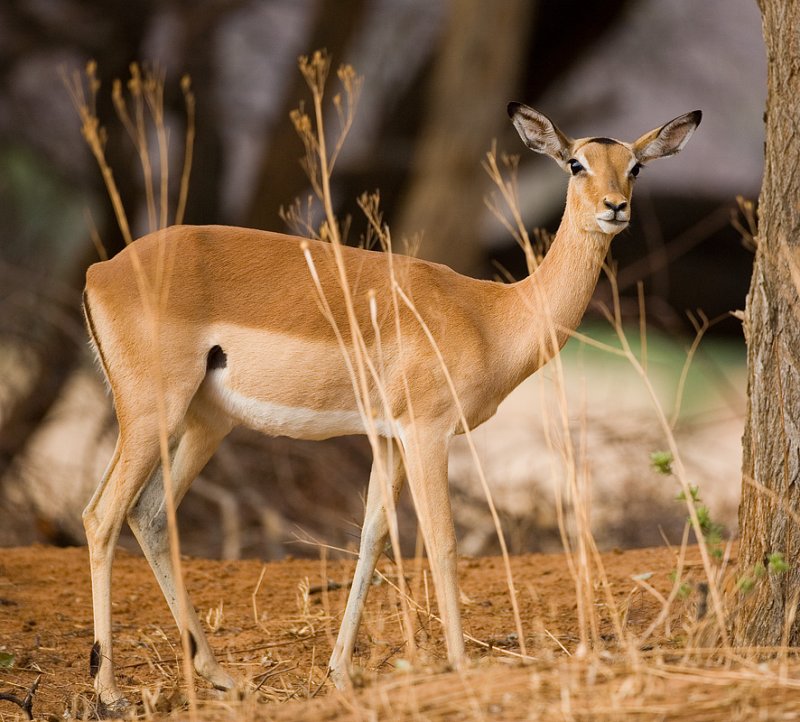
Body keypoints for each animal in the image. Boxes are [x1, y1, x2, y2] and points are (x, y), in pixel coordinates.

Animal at [81, 101, 700, 708]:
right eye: (575, 163)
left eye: (635, 167)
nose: (615, 208)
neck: (491, 315)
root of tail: (101, 271)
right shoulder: (427, 433)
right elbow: (442, 541)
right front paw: (458, 664)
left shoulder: (388, 436)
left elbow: (372, 536)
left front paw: (339, 672)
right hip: (152, 413)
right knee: (101, 514)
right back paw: (109, 691)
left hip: (206, 422)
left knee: (149, 515)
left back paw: (219, 676)